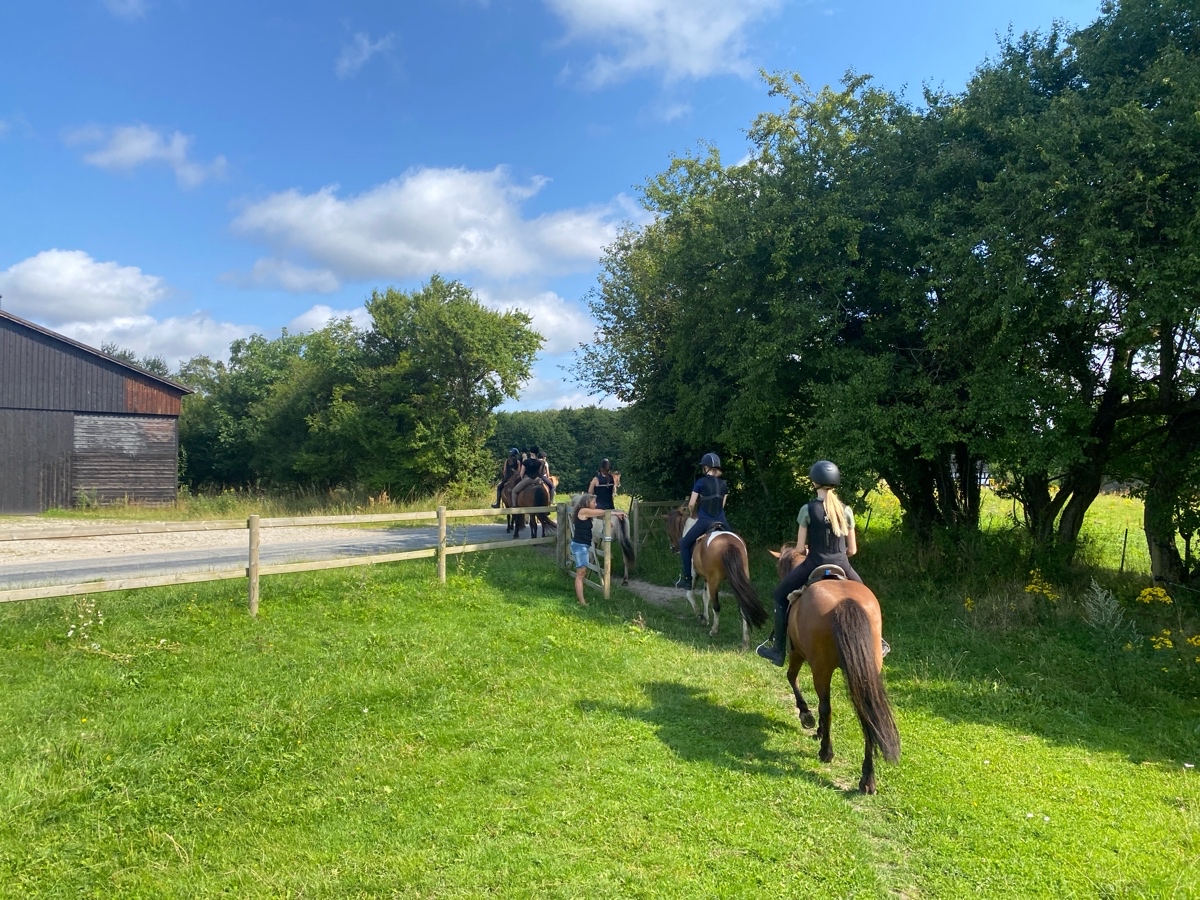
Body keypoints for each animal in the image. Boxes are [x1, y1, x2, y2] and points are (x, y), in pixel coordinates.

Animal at [768, 547, 902, 792]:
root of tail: (844, 602)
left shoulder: (797, 652)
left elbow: (792, 678)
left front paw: (807, 717)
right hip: (864, 674)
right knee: (866, 714)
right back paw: (867, 779)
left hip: (821, 668)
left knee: (825, 706)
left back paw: (826, 751)